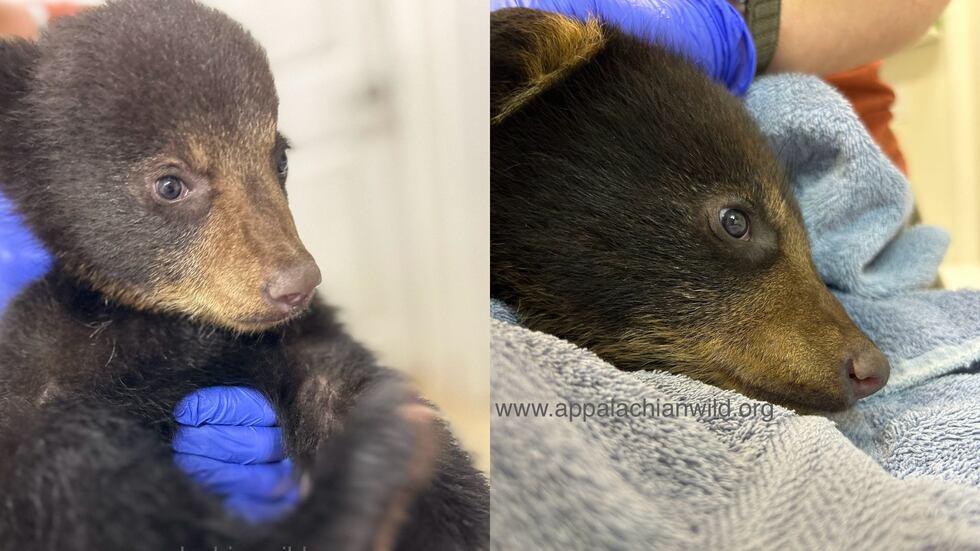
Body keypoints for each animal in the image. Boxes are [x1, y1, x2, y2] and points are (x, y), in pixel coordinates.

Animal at [0, 1, 488, 549]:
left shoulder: (304, 340)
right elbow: (101, 506)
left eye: (280, 158)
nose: (297, 283)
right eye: (171, 184)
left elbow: (344, 391)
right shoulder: (35, 372)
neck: (177, 326)